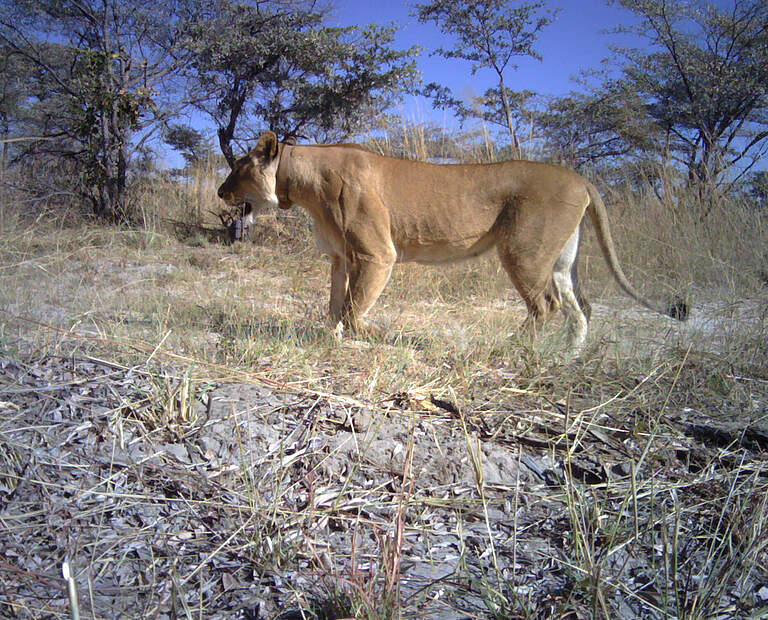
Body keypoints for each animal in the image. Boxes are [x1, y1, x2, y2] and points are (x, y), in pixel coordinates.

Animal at [217, 131, 687, 351]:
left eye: (238, 166)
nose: (220, 191)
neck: (300, 180)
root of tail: (582, 179)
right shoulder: (339, 256)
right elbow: (334, 304)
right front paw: (326, 341)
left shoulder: (376, 253)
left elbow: (353, 309)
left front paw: (376, 336)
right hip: (559, 260)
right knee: (581, 308)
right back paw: (567, 359)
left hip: (524, 252)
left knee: (545, 305)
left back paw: (512, 349)